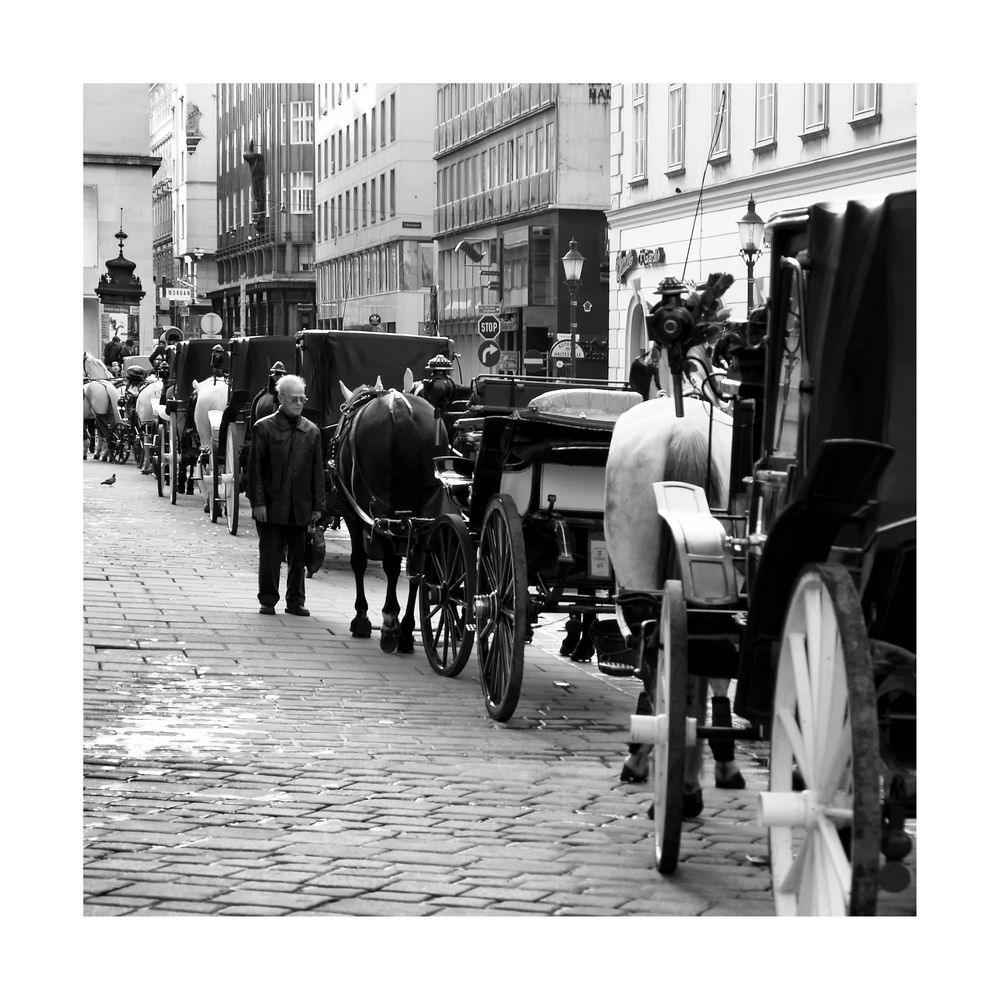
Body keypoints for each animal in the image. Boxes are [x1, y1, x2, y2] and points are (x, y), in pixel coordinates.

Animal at [336, 384, 454, 656]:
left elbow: (359, 561)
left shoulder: (351, 514)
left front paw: (361, 618)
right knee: (418, 566)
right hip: (427, 506)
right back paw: (407, 632)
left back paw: (390, 623)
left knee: (392, 563)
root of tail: (400, 409)